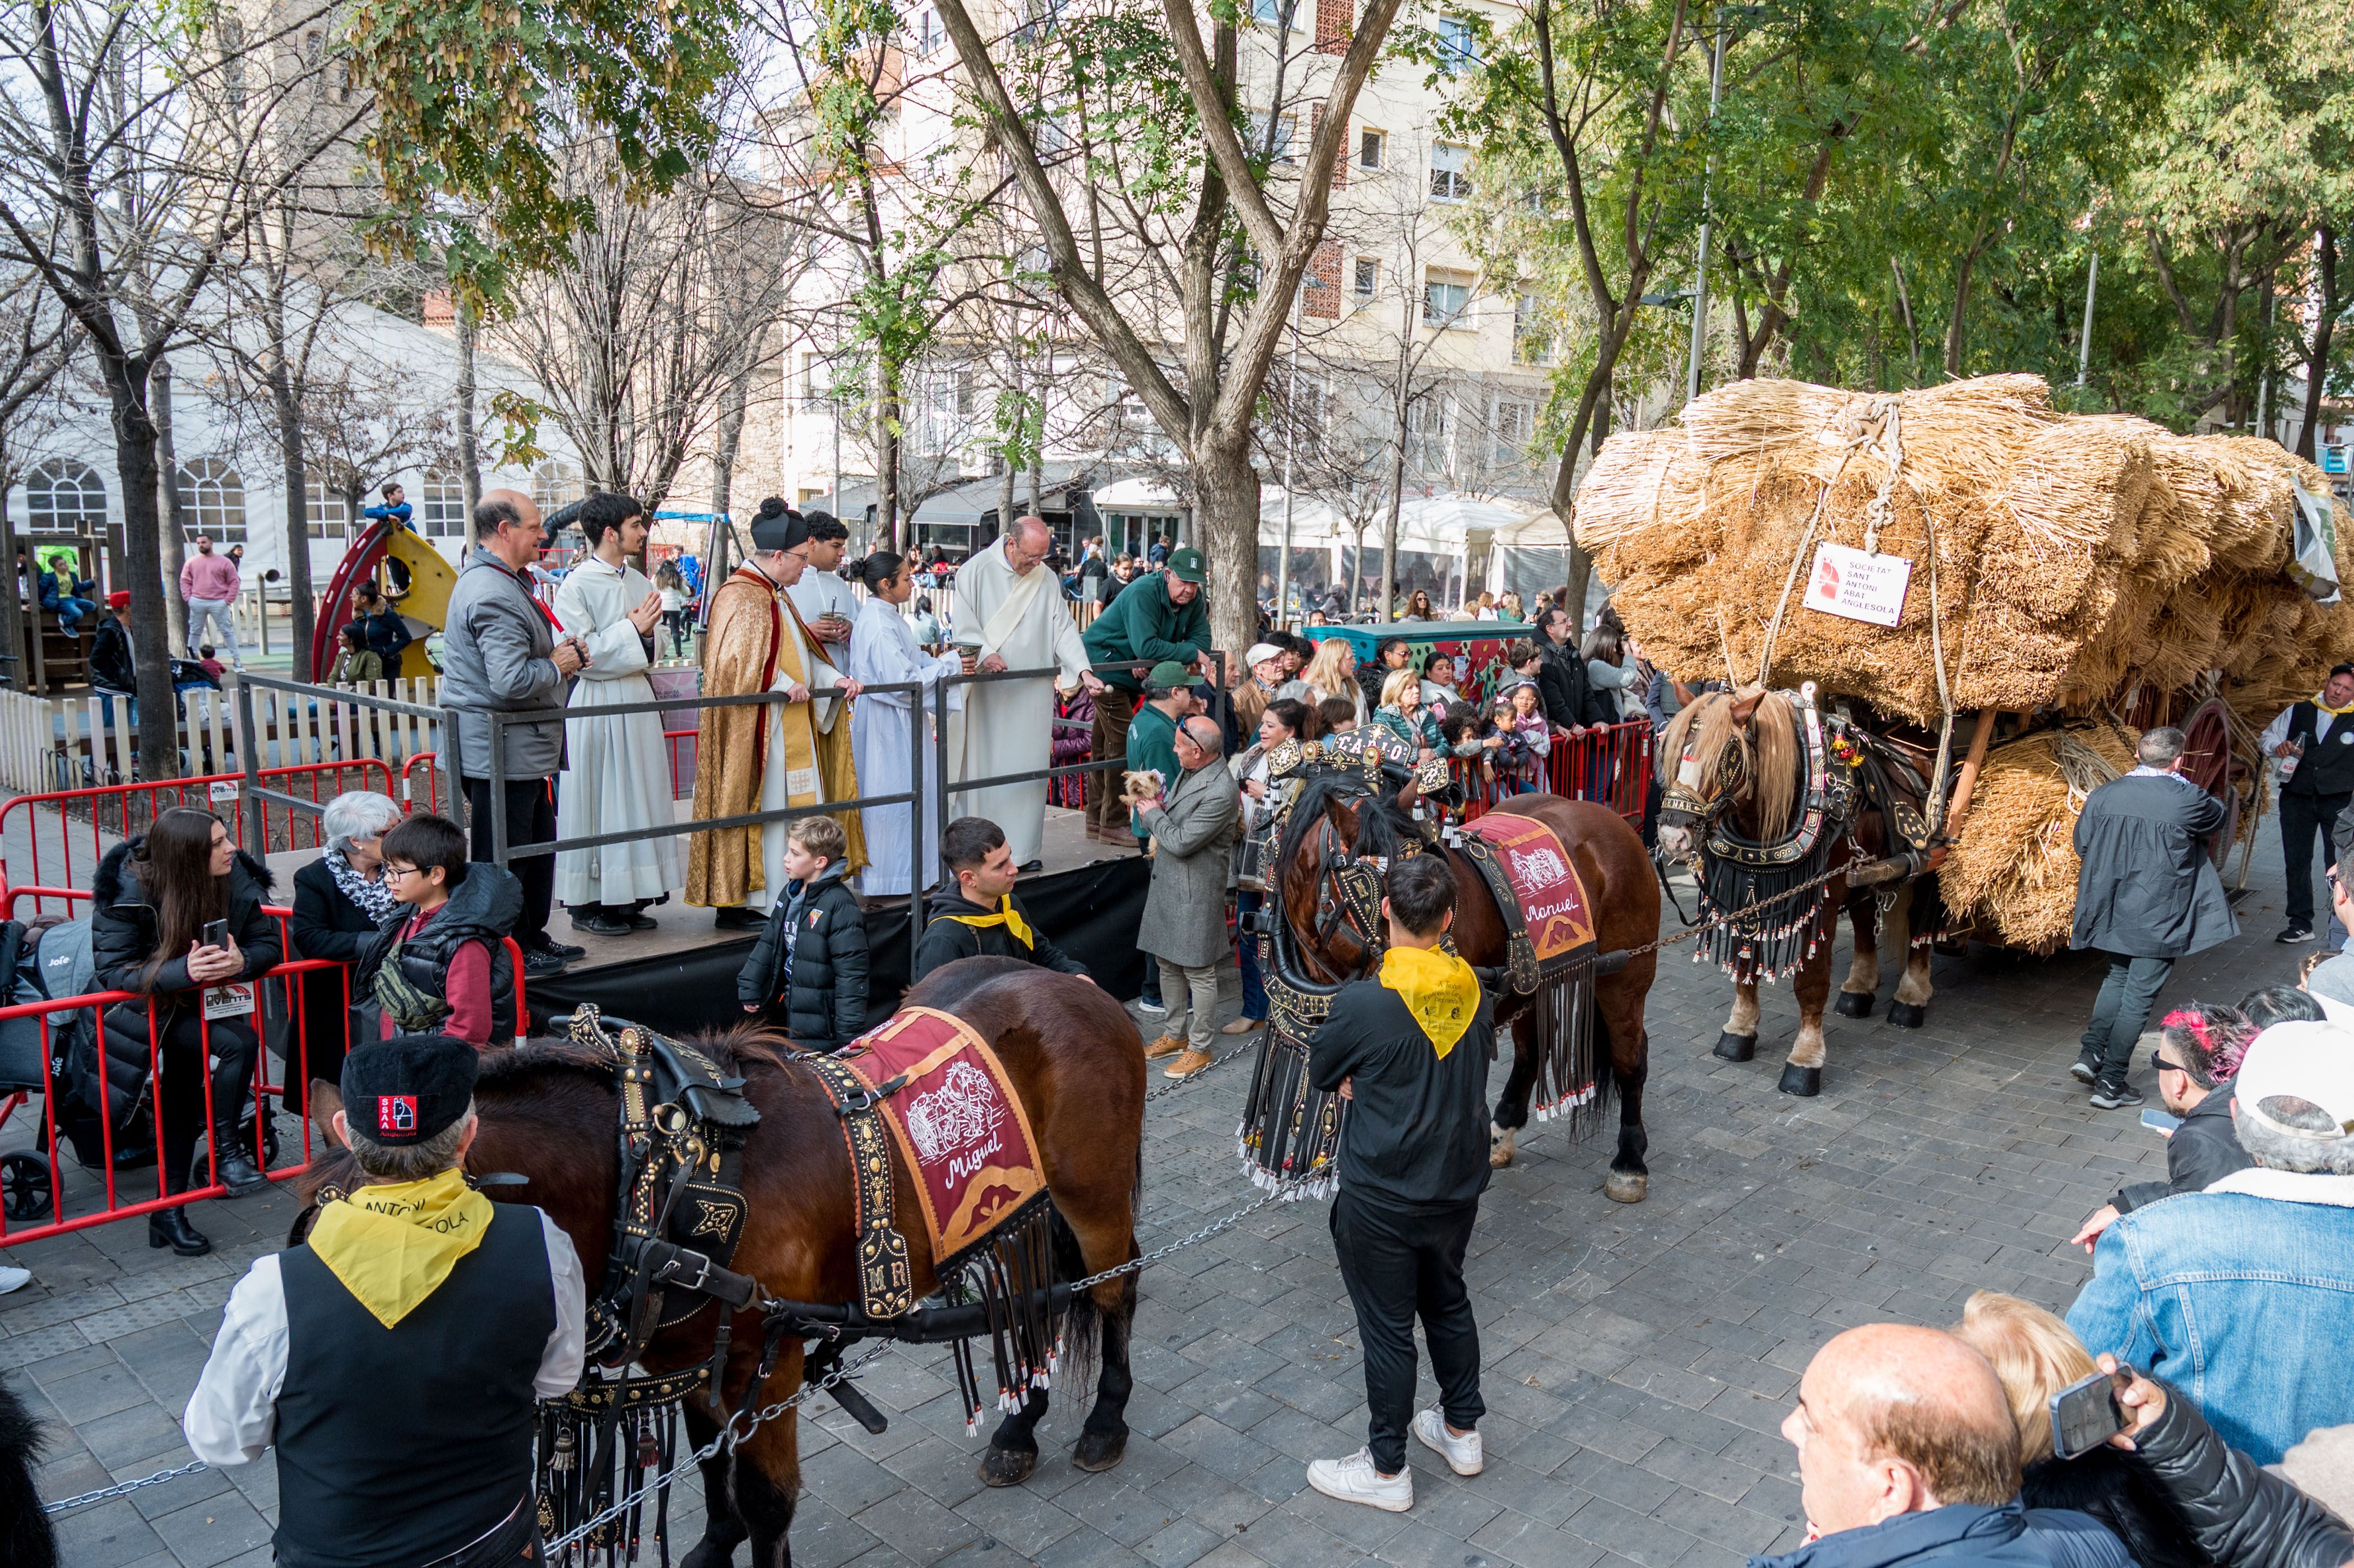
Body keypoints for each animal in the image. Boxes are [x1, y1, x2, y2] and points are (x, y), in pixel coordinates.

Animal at [299, 961, 1144, 1563]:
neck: (659, 1175)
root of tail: (1074, 983)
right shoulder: (690, 1356)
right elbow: (710, 1463)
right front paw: (713, 1541)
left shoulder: (768, 1356)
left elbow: (767, 1499)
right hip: (1015, 1210)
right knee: (1038, 1299)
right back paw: (1019, 1428)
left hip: (1094, 1195)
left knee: (1114, 1289)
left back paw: (1105, 1419)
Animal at [1280, 772, 1666, 1196]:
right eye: (1374, 886)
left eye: (1429, 873)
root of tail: (1615, 821)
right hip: (1529, 983)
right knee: (1532, 1053)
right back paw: (1501, 1133)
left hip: (1626, 975)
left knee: (1630, 1059)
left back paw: (1629, 1161)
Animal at [1657, 692, 1930, 1092]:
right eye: (1675, 750)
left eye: (1727, 755)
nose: (1671, 837)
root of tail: (1918, 750)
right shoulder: (1748, 891)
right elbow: (1744, 965)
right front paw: (1739, 1031)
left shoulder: (1824, 899)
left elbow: (1811, 980)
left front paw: (1806, 1058)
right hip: (1862, 872)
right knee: (1864, 918)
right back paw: (1859, 989)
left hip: (1927, 869)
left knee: (1924, 922)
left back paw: (1912, 996)